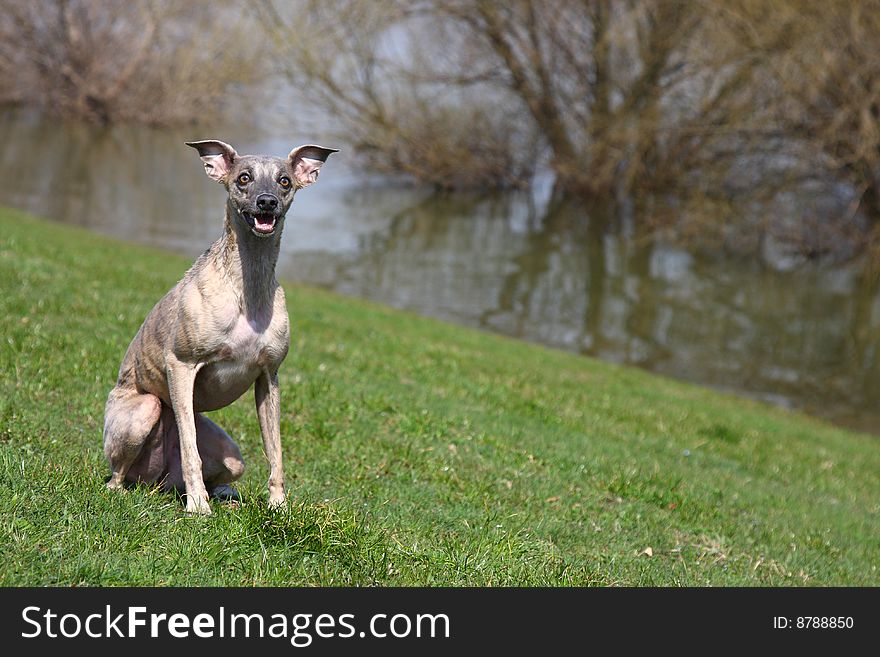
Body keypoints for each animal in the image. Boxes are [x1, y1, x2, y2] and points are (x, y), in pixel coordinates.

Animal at [102, 140, 336, 512]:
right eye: (244, 177)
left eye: (284, 181)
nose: (266, 202)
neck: (246, 289)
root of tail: (154, 481)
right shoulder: (181, 364)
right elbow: (190, 449)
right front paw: (198, 506)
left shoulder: (269, 376)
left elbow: (276, 451)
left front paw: (278, 507)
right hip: (144, 411)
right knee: (120, 474)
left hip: (230, 454)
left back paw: (225, 495)